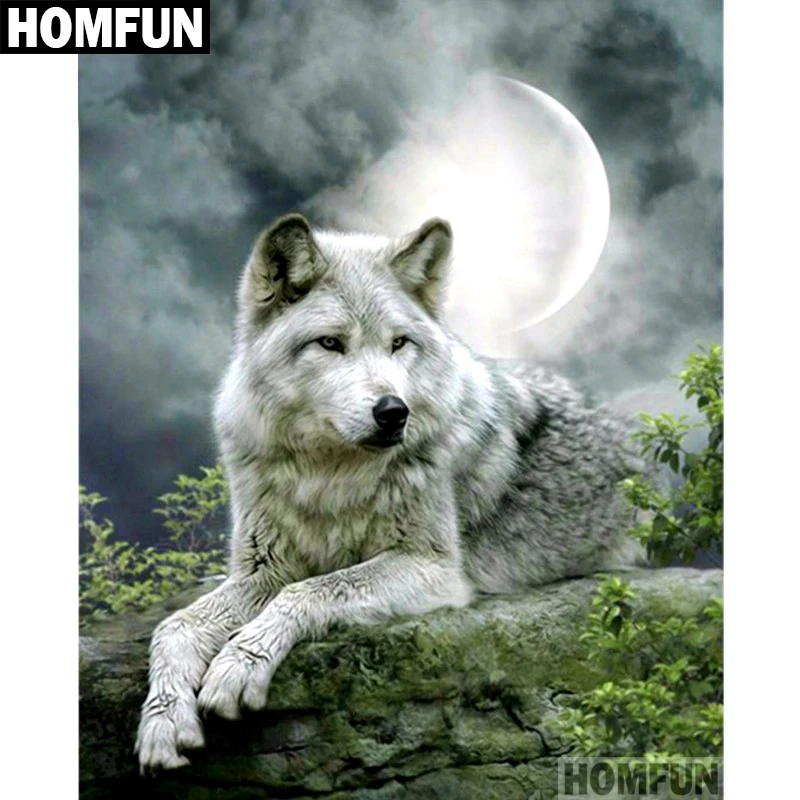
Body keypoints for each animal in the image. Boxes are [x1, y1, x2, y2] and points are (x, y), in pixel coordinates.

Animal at [136, 213, 645, 773]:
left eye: (399, 343)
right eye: (330, 344)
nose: (394, 412)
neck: (329, 475)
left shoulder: (433, 568)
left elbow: (311, 590)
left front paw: (237, 664)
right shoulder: (262, 570)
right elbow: (173, 626)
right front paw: (163, 722)